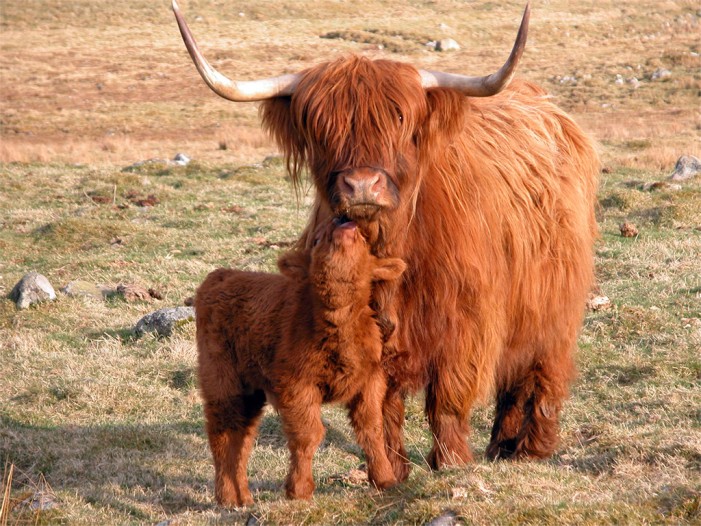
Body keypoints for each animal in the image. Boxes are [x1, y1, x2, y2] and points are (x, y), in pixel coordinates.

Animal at [196, 219, 404, 508]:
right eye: (317, 239)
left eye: (363, 240)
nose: (343, 223)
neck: (337, 322)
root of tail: (221, 275)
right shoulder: (297, 386)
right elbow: (308, 435)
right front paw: (300, 490)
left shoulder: (371, 381)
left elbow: (371, 429)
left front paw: (386, 480)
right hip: (222, 381)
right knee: (223, 433)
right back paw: (227, 498)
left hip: (250, 392)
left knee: (242, 438)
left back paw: (244, 498)